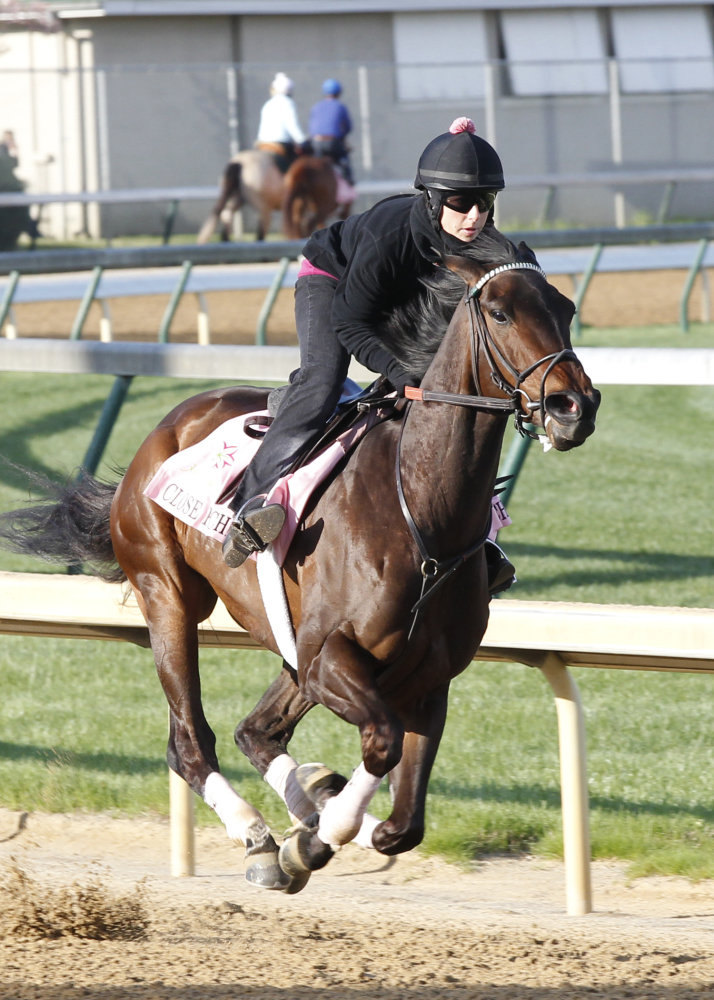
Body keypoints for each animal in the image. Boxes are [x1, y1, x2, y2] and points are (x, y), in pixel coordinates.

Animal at [0, 232, 600, 892]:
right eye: (498, 312)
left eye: (566, 307)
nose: (575, 405)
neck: (425, 516)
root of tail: (168, 425)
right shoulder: (330, 657)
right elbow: (382, 744)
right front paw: (312, 838)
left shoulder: (425, 679)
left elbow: (403, 823)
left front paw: (322, 819)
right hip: (168, 594)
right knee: (191, 741)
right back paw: (260, 836)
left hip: (289, 648)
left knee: (256, 731)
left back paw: (304, 800)